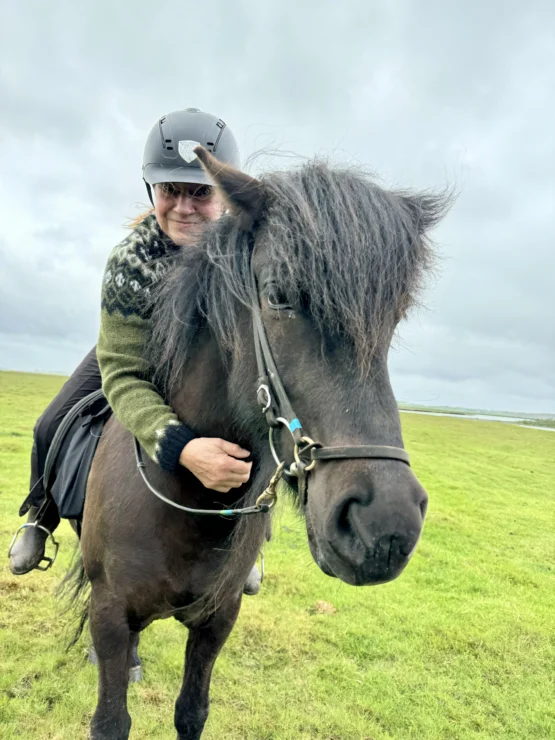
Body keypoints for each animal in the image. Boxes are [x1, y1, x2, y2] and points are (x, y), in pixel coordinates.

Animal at [70, 147, 452, 736]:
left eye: (395, 317)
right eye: (277, 296)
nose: (385, 525)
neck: (189, 504)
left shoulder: (218, 618)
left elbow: (191, 712)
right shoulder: (109, 615)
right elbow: (111, 719)